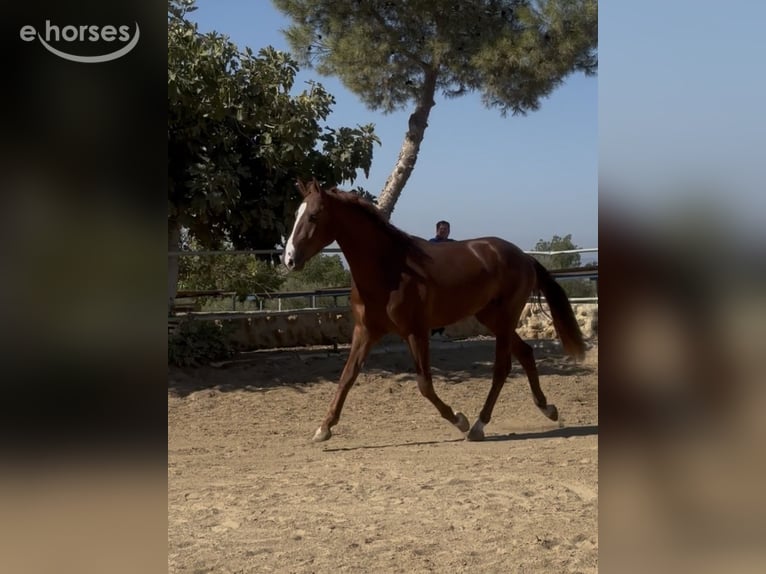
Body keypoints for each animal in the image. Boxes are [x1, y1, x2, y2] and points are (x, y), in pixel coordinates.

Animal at [283, 179, 586, 442]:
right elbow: (346, 377)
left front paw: (459, 419)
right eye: (296, 214)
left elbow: (425, 385)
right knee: (525, 353)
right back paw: (548, 409)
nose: (289, 259)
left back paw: (478, 426)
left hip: (504, 319)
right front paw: (323, 429)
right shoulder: (366, 331)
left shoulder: (416, 332)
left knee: (502, 368)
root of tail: (524, 257)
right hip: (492, 318)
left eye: (313, 216)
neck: (390, 269)